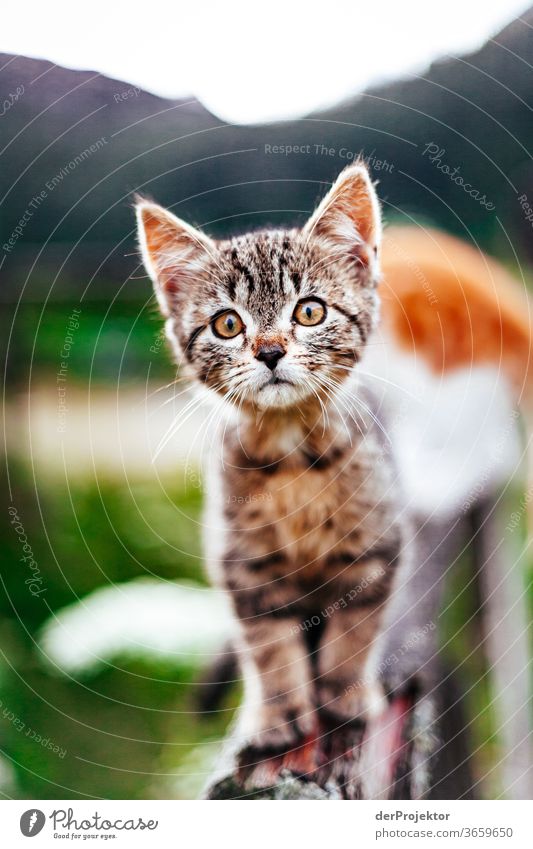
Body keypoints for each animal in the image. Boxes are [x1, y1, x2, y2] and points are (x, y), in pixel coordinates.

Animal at [135, 164, 402, 756]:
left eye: (310, 311)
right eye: (228, 325)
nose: (271, 351)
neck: (294, 458)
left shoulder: (375, 549)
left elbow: (356, 632)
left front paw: (346, 696)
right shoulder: (244, 565)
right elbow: (268, 646)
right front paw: (278, 712)